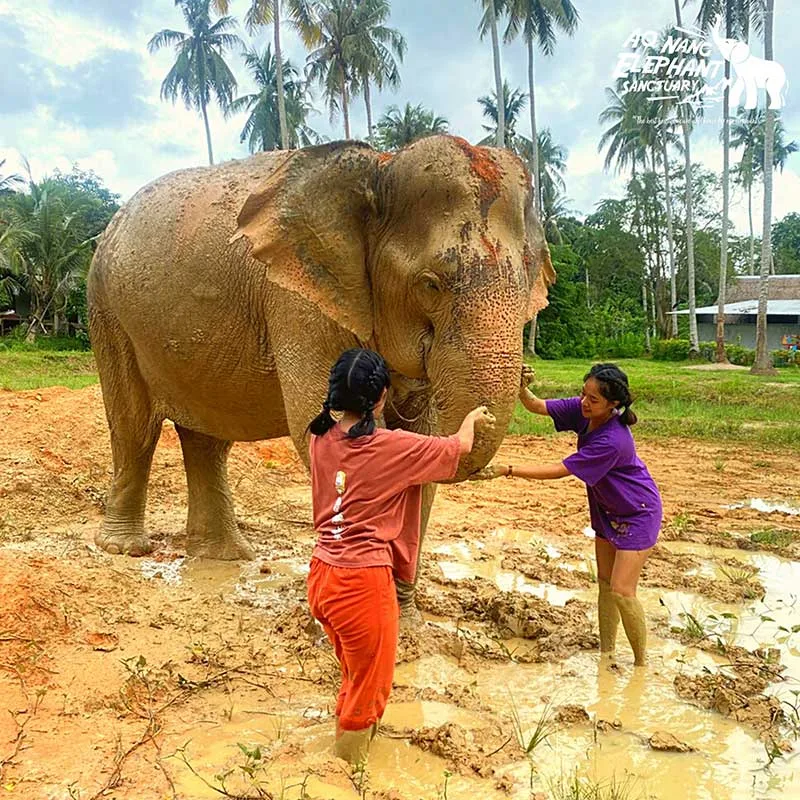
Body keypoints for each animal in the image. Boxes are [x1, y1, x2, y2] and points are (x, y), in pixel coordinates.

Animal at [87, 135, 554, 607]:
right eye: (430, 284)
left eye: (531, 277)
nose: (527, 375)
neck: (380, 165)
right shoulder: (298, 301)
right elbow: (323, 425)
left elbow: (420, 439)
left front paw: (400, 611)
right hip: (107, 311)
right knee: (134, 427)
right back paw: (125, 548)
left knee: (207, 440)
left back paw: (224, 556)